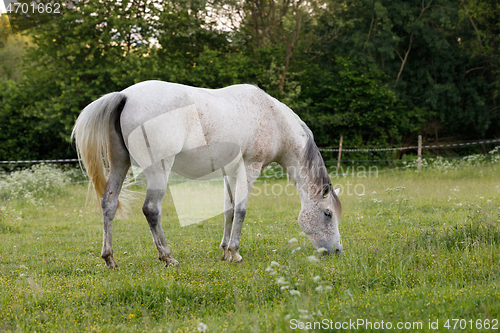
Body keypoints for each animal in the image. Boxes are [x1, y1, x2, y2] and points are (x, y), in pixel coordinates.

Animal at [70, 80, 342, 268]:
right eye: (327, 213)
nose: (337, 251)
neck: (273, 118)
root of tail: (125, 96)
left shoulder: (229, 173)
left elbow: (229, 210)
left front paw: (224, 252)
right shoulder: (249, 169)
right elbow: (241, 210)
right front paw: (235, 253)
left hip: (120, 163)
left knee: (109, 204)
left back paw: (110, 259)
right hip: (159, 171)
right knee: (151, 209)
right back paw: (168, 257)